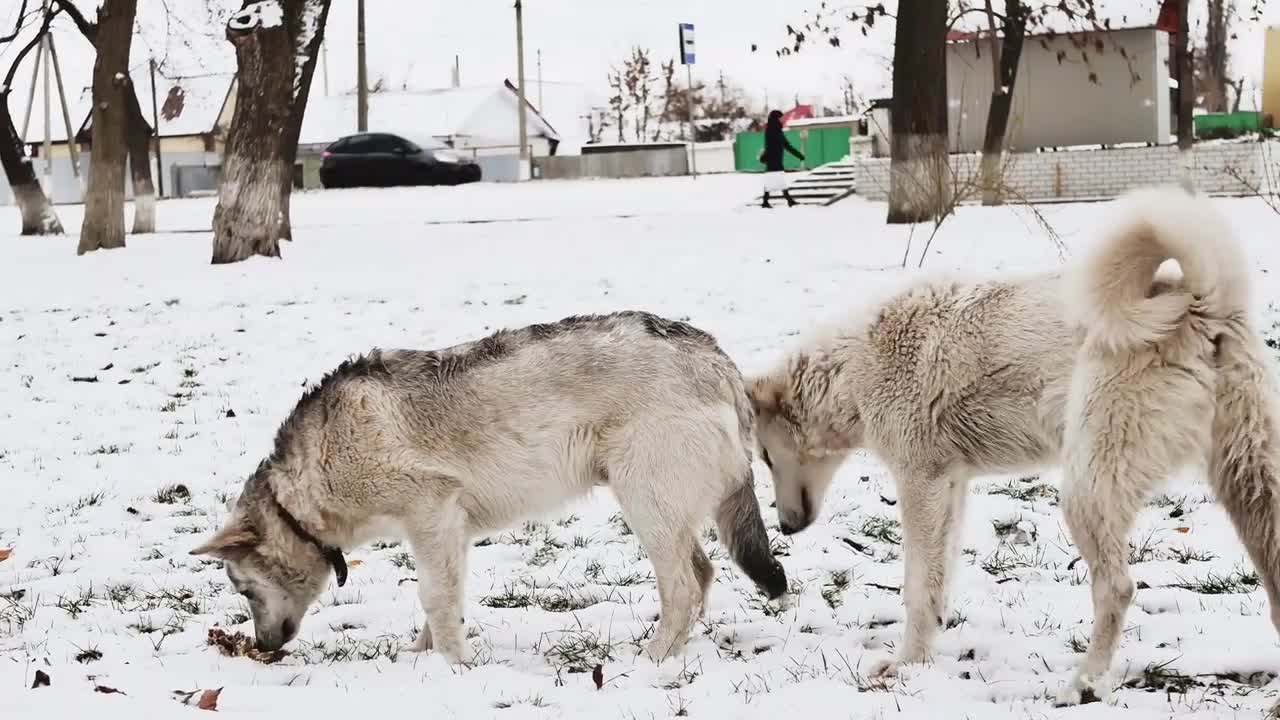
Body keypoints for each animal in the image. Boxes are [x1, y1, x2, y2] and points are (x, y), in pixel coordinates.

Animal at [190, 311, 783, 666]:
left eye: (243, 591)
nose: (262, 648)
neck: (309, 483)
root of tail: (718, 357)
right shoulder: (447, 533)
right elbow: (441, 602)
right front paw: (422, 657)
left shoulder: (432, 518)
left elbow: (434, 598)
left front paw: (452, 668)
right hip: (665, 513)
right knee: (702, 574)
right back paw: (680, 652)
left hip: (645, 507)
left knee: (681, 587)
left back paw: (652, 658)